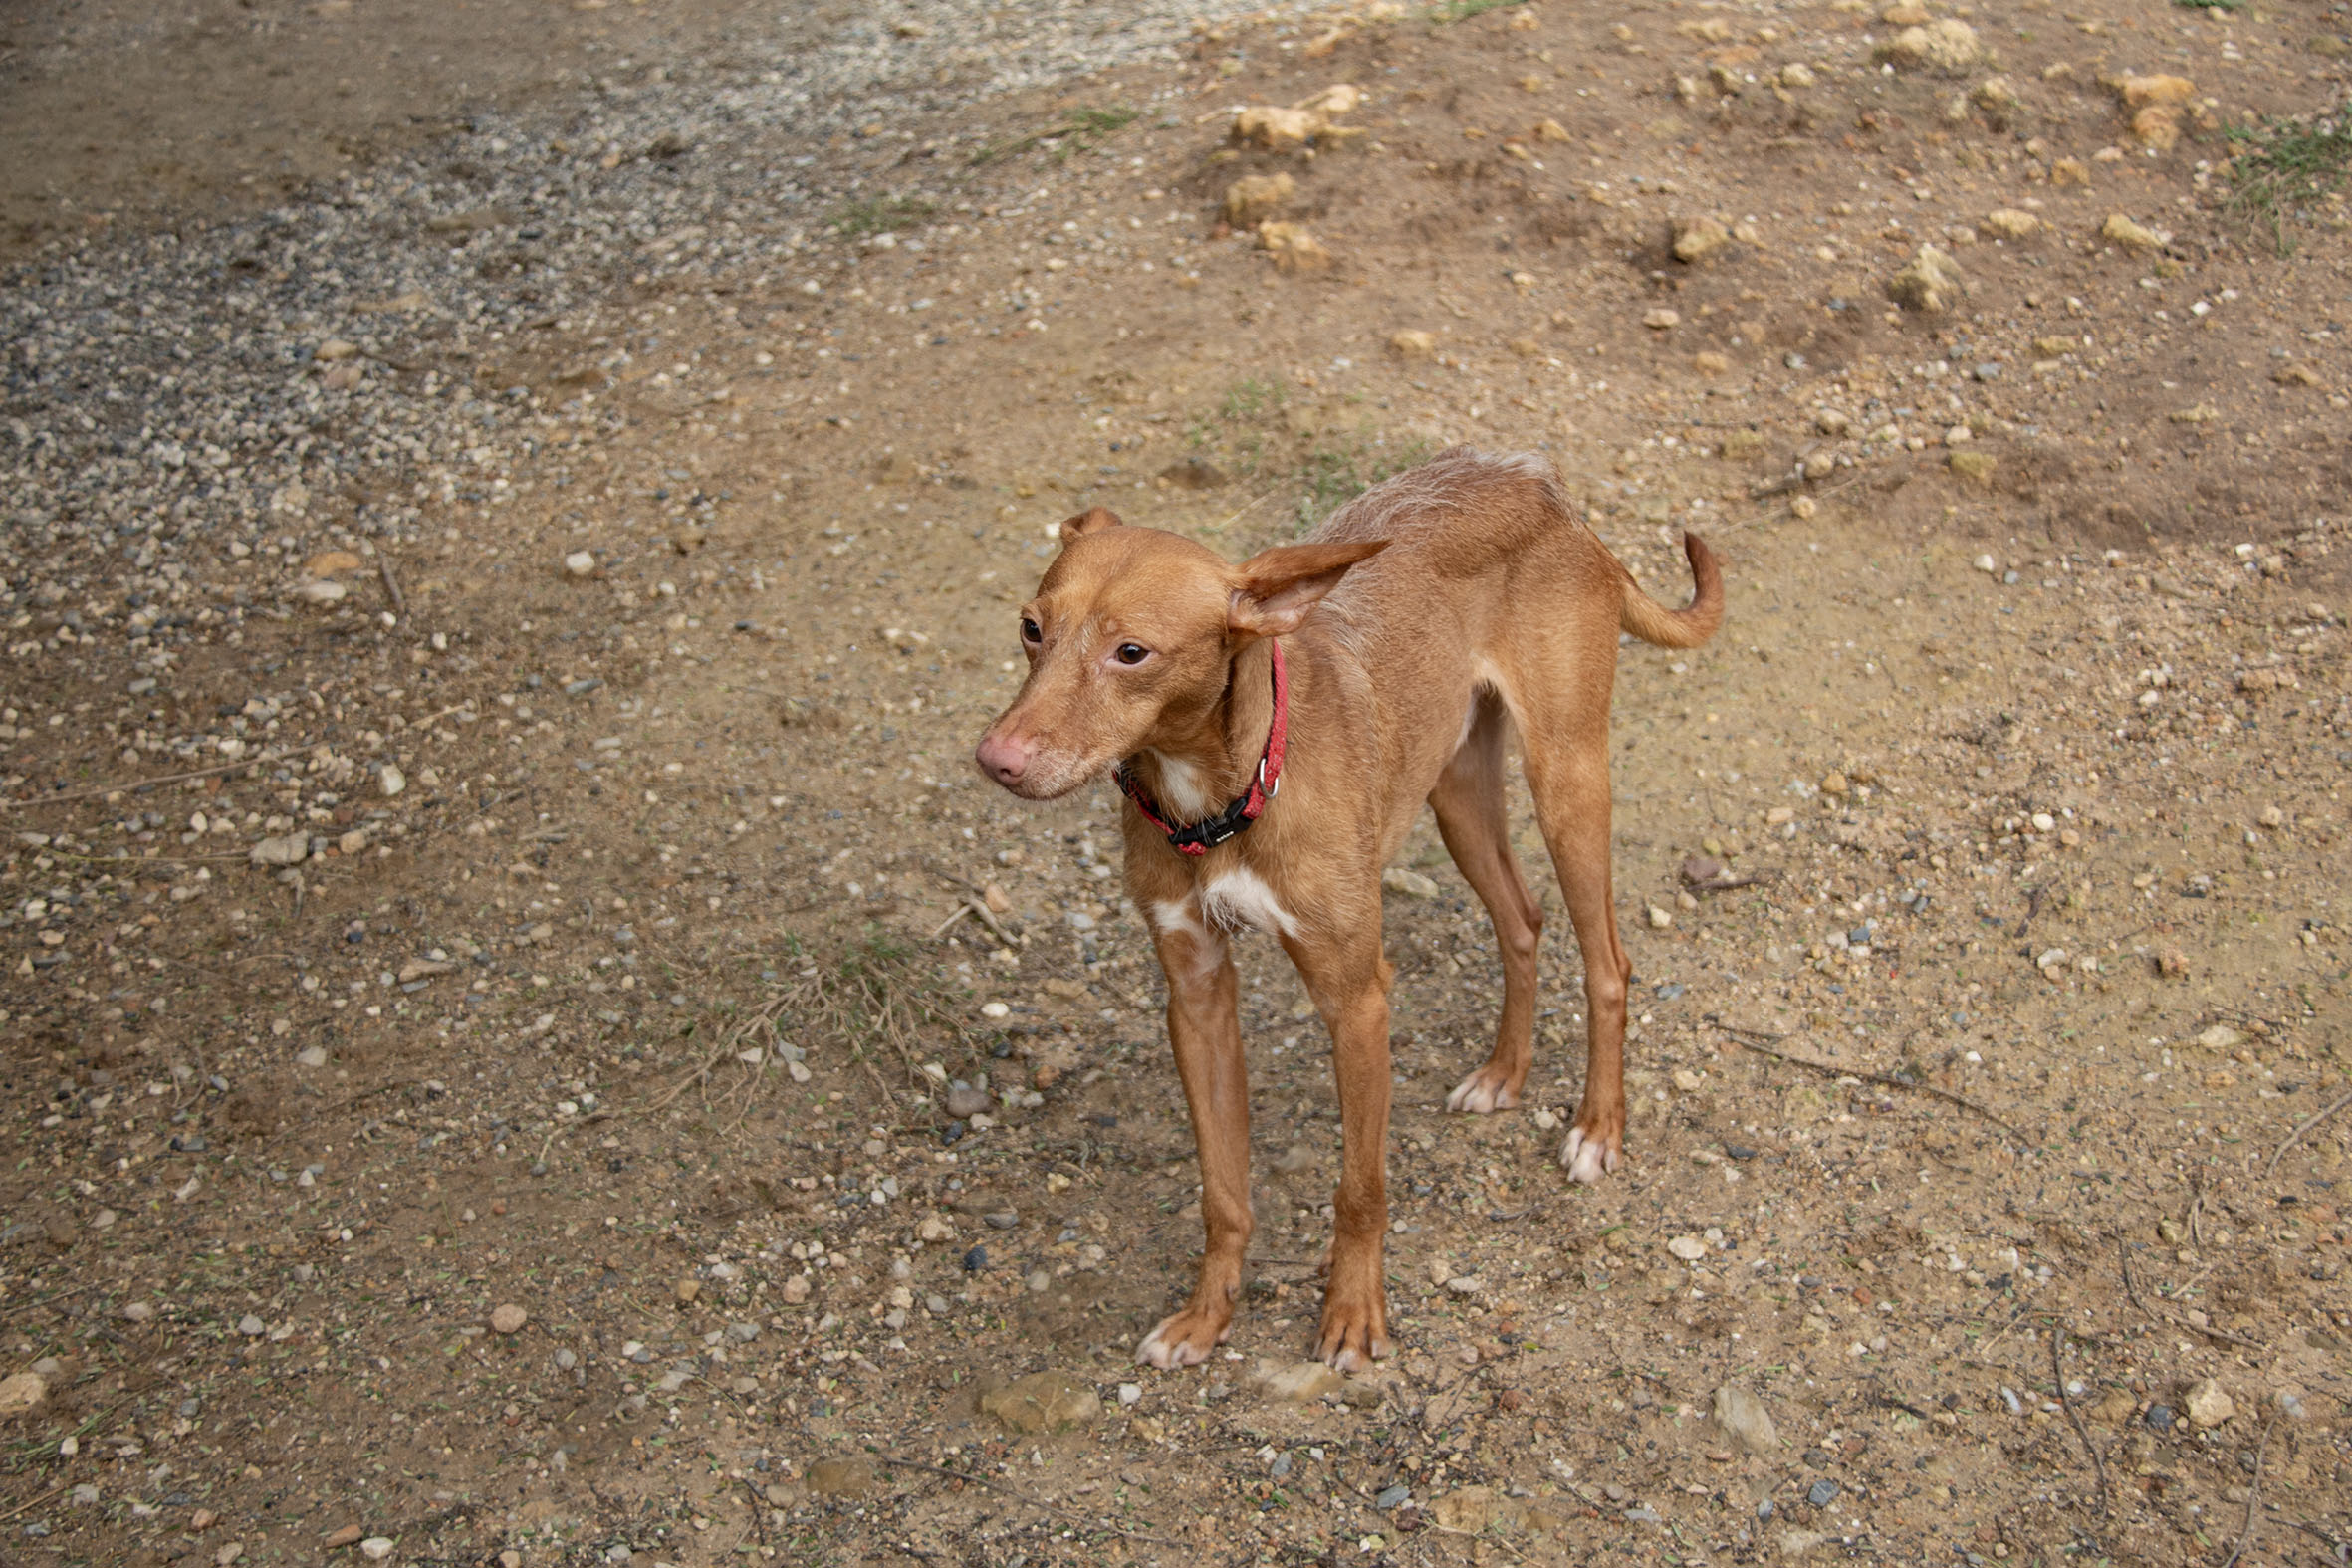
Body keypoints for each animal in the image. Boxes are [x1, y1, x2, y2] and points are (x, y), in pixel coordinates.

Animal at [974, 447, 1721, 1371]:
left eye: (1132, 651)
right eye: (1030, 628)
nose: (996, 759)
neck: (1222, 795)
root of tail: (1539, 484)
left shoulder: (1356, 999)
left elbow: (1360, 1187)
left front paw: (1354, 1315)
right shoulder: (1195, 994)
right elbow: (1222, 1189)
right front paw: (1206, 1316)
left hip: (1567, 780)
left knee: (1609, 962)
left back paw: (1597, 1127)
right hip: (1456, 792)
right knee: (1522, 921)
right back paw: (1503, 1073)